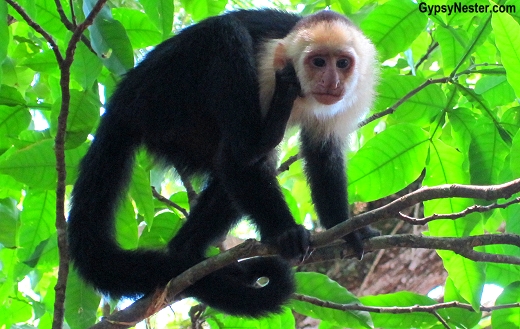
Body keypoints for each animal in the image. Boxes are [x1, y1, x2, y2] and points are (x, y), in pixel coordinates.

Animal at [68, 8, 378, 316]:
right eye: (318, 62)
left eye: (342, 63)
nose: (332, 81)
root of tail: (123, 97)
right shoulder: (269, 70)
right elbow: (237, 164)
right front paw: (285, 233)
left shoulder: (352, 97)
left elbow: (324, 157)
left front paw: (347, 229)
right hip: (167, 98)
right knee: (224, 35)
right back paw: (263, 137)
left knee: (225, 186)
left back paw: (186, 256)